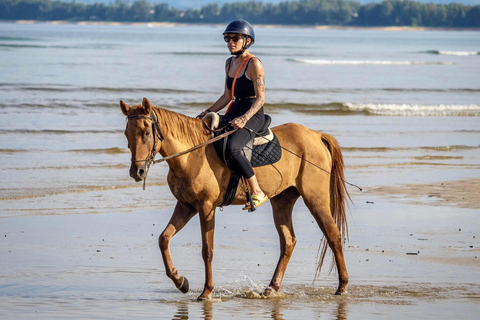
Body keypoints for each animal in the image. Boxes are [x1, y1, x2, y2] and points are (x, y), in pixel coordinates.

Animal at [122, 97, 350, 300]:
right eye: (127, 133)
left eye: (146, 132)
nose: (137, 172)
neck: (191, 156)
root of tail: (317, 135)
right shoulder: (186, 206)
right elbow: (164, 239)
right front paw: (181, 282)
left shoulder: (206, 207)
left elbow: (207, 250)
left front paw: (207, 291)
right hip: (282, 200)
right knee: (288, 242)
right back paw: (271, 288)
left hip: (315, 199)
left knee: (333, 235)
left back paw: (342, 286)